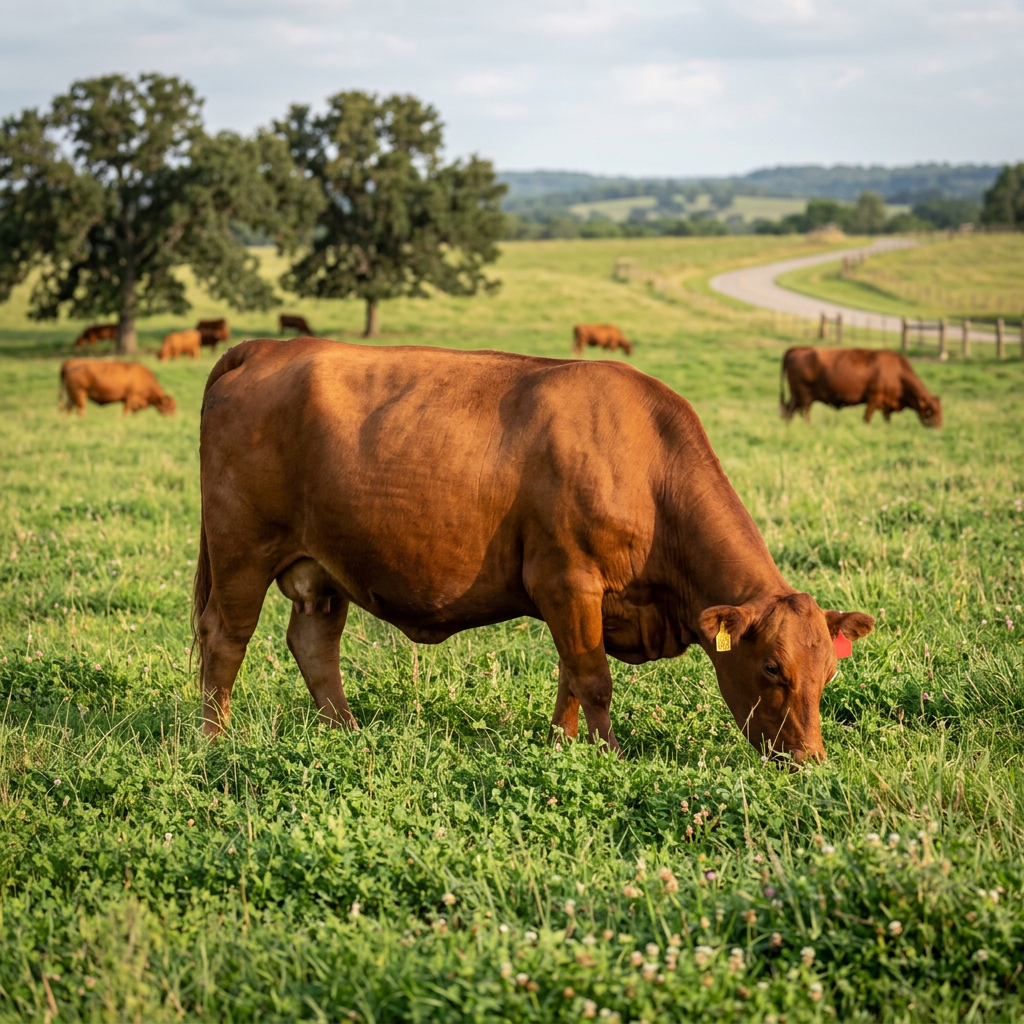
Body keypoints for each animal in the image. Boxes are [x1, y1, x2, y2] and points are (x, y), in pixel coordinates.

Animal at [193, 338, 874, 765]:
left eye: (829, 673)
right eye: (772, 668)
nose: (809, 760)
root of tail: (268, 347)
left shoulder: (579, 601)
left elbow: (571, 675)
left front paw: (562, 746)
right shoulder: (567, 580)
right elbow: (594, 680)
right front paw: (610, 754)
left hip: (324, 568)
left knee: (314, 646)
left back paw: (346, 733)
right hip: (241, 552)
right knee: (225, 640)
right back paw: (214, 741)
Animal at [780, 347, 942, 427]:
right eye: (930, 411)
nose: (939, 427)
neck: (896, 372)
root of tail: (797, 350)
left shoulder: (886, 405)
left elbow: (887, 419)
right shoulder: (873, 400)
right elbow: (867, 418)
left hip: (798, 397)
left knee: (790, 411)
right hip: (804, 397)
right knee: (802, 412)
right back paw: (809, 426)